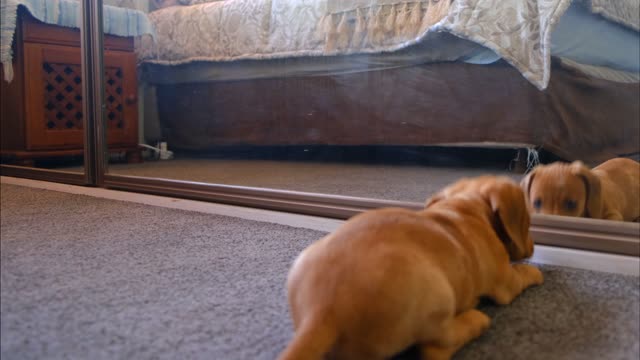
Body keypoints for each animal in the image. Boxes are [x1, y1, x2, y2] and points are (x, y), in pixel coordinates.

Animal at [278, 176, 544, 358]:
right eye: (528, 222)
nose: (533, 246)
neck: (465, 208)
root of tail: (322, 312)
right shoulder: (507, 282)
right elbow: (521, 274)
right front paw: (535, 272)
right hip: (439, 297)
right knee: (436, 348)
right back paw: (475, 320)